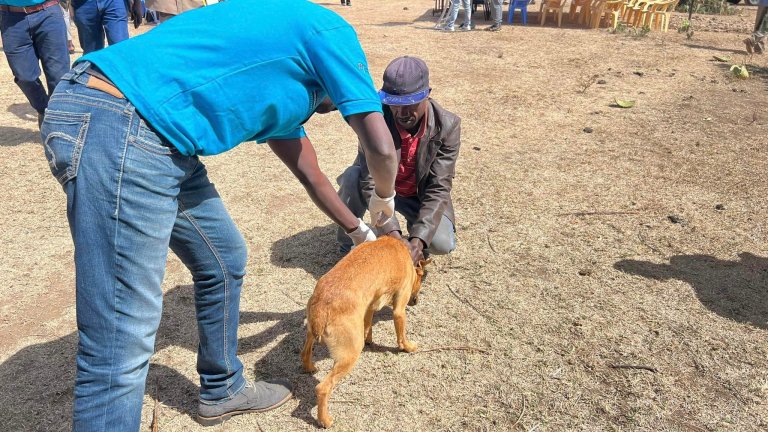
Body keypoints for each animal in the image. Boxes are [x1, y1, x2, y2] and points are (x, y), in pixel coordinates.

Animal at [302, 236, 432, 428]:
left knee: (305, 353)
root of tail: (322, 307)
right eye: (420, 281)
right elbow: (401, 335)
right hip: (350, 354)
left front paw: (369, 338)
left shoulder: (370, 305)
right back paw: (325, 420)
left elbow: (368, 325)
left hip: (311, 333)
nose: (416, 301)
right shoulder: (399, 308)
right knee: (323, 388)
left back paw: (309, 367)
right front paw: (408, 347)